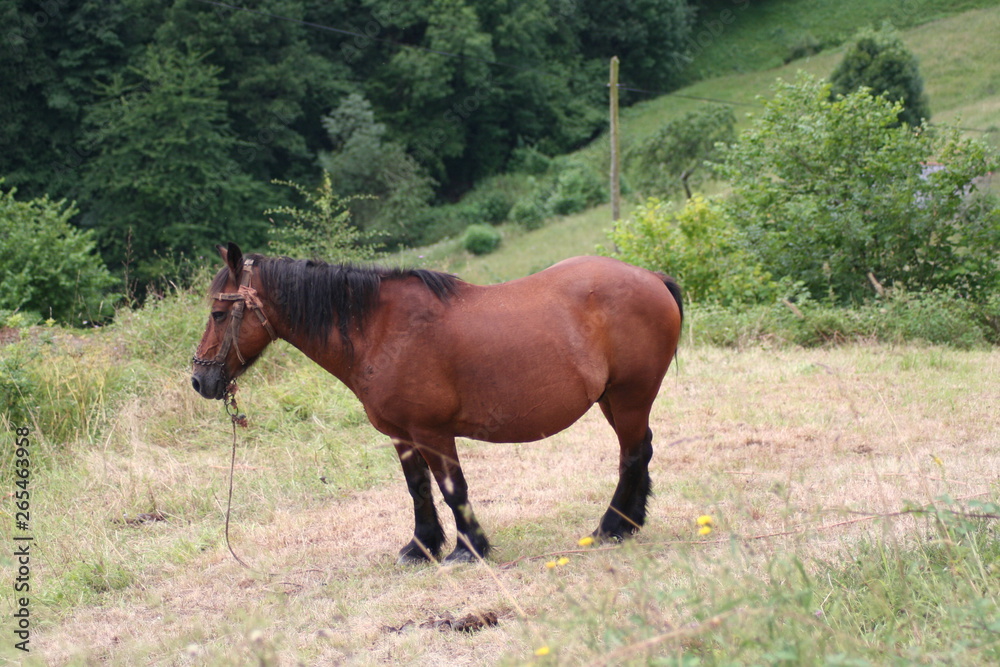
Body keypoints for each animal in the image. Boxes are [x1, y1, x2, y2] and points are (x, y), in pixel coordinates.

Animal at [191, 243, 683, 564]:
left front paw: (468, 549)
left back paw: (612, 527)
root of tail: (652, 278)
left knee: (631, 456)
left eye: (218, 313)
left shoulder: (433, 432)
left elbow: (452, 489)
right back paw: (629, 523)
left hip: (630, 396)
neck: (380, 330)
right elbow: (419, 489)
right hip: (613, 400)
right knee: (640, 451)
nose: (200, 379)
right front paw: (422, 546)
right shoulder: (401, 435)